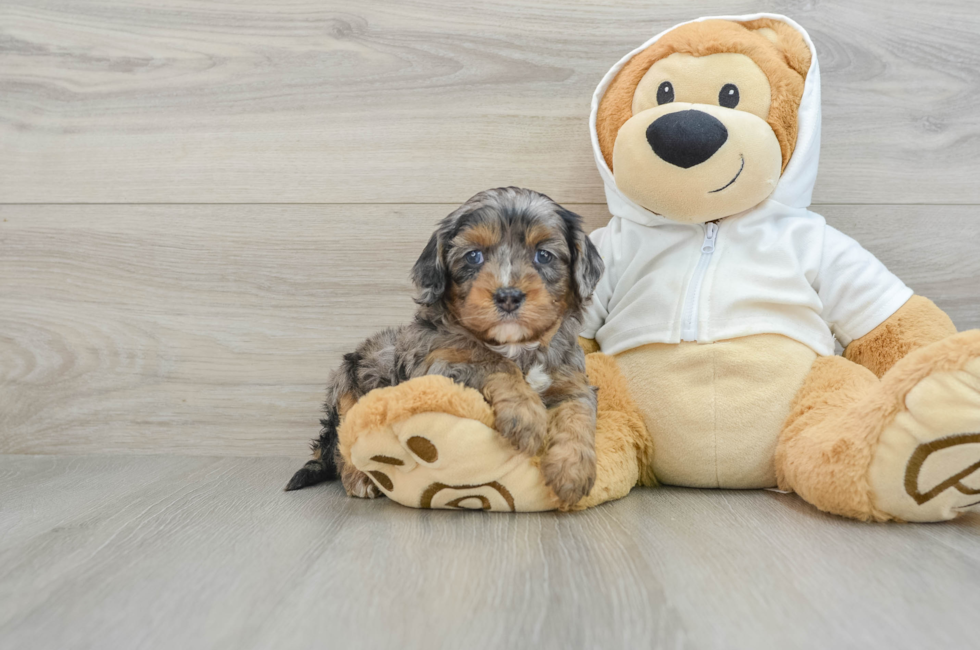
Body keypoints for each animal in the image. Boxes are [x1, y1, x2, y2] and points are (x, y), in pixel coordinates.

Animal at [286, 186, 604, 506]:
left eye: (544, 255)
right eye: (474, 256)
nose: (508, 296)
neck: (516, 346)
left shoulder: (572, 380)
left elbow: (579, 412)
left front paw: (573, 471)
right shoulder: (438, 368)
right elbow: (491, 362)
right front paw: (526, 417)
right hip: (345, 386)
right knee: (344, 442)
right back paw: (359, 478)